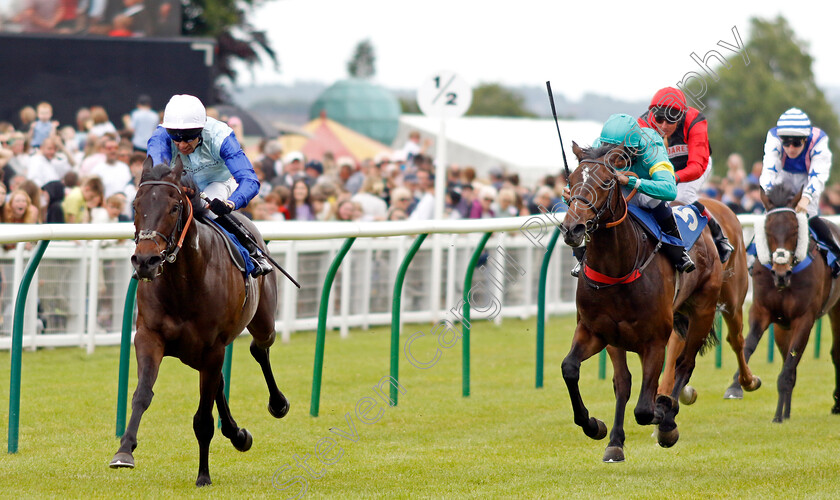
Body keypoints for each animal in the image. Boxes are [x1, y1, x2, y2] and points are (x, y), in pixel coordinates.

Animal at [556, 143, 720, 462]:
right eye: (571, 181)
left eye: (606, 183)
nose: (573, 228)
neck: (617, 268)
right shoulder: (598, 332)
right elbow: (574, 369)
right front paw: (597, 428)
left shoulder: (655, 339)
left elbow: (645, 408)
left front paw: (663, 414)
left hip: (703, 310)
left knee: (685, 363)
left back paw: (668, 417)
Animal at [728, 185, 840, 422]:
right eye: (768, 229)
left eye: (795, 229)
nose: (781, 273)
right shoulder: (762, 311)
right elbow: (749, 345)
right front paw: (737, 385)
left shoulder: (804, 318)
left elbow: (789, 366)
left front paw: (778, 416)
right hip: (782, 326)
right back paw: (787, 411)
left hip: (836, 310)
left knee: (835, 353)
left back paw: (835, 404)